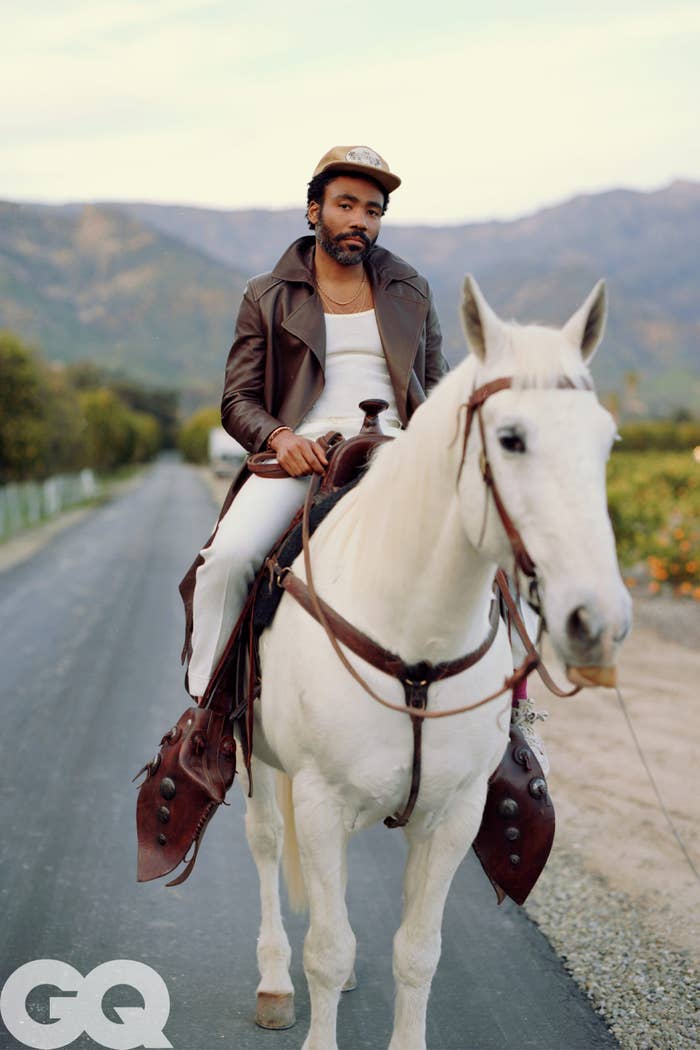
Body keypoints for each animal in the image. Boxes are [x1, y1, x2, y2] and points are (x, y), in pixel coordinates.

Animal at [238, 277, 633, 1050]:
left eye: (606, 442)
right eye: (510, 438)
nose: (597, 619)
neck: (414, 640)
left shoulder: (452, 814)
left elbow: (416, 953)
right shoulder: (321, 802)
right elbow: (327, 951)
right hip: (260, 762)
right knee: (266, 845)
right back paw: (270, 981)